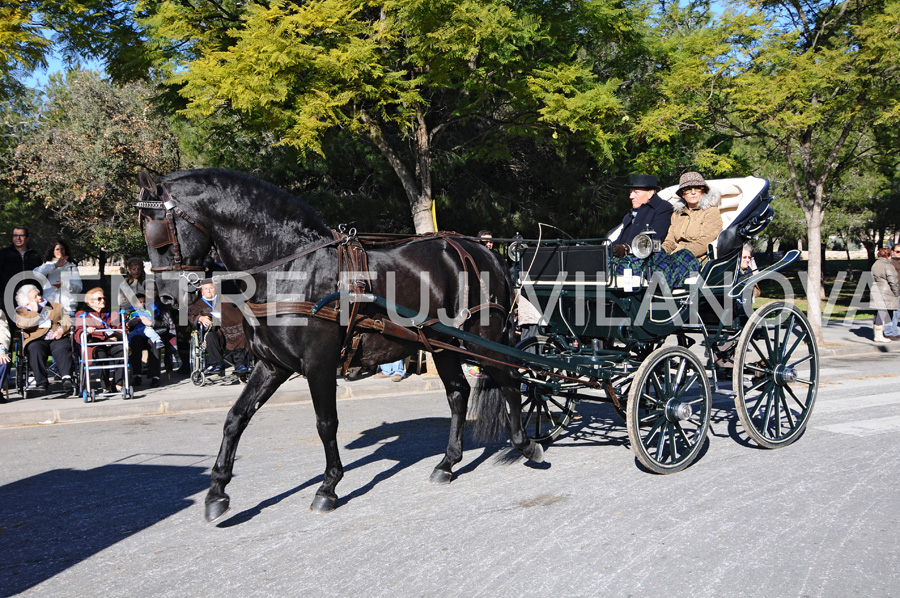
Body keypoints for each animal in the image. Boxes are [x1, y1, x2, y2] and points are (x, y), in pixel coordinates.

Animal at [134, 170, 540, 524]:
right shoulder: (272, 365)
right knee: (458, 393)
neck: (289, 268)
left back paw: (526, 444)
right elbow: (236, 418)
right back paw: (448, 462)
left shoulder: (319, 363)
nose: (166, 298)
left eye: (159, 234)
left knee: (509, 381)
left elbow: (326, 423)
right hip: (441, 344)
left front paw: (328, 487)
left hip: (483, 336)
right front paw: (217, 491)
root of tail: (481, 249)